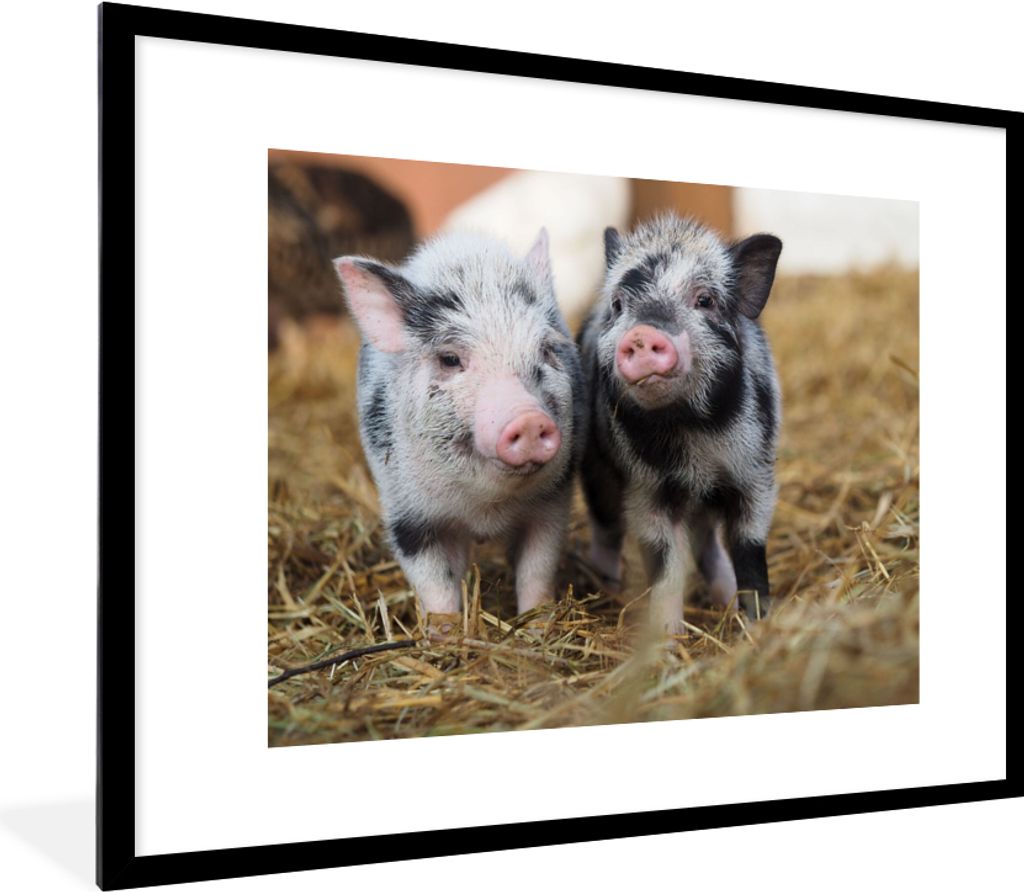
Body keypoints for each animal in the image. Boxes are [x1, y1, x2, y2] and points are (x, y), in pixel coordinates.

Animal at [333, 230, 584, 636]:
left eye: (547, 351)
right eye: (450, 359)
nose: (529, 419)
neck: (486, 509)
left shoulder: (553, 502)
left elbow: (537, 570)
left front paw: (537, 628)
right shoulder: (406, 513)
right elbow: (435, 584)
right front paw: (443, 636)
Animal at [577, 213, 782, 632]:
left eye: (704, 300)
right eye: (619, 304)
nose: (642, 334)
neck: (693, 433)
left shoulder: (755, 476)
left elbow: (750, 550)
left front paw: (757, 624)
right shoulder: (647, 490)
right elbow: (666, 565)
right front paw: (668, 635)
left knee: (709, 545)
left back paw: (724, 599)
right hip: (596, 470)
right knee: (606, 528)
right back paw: (610, 588)